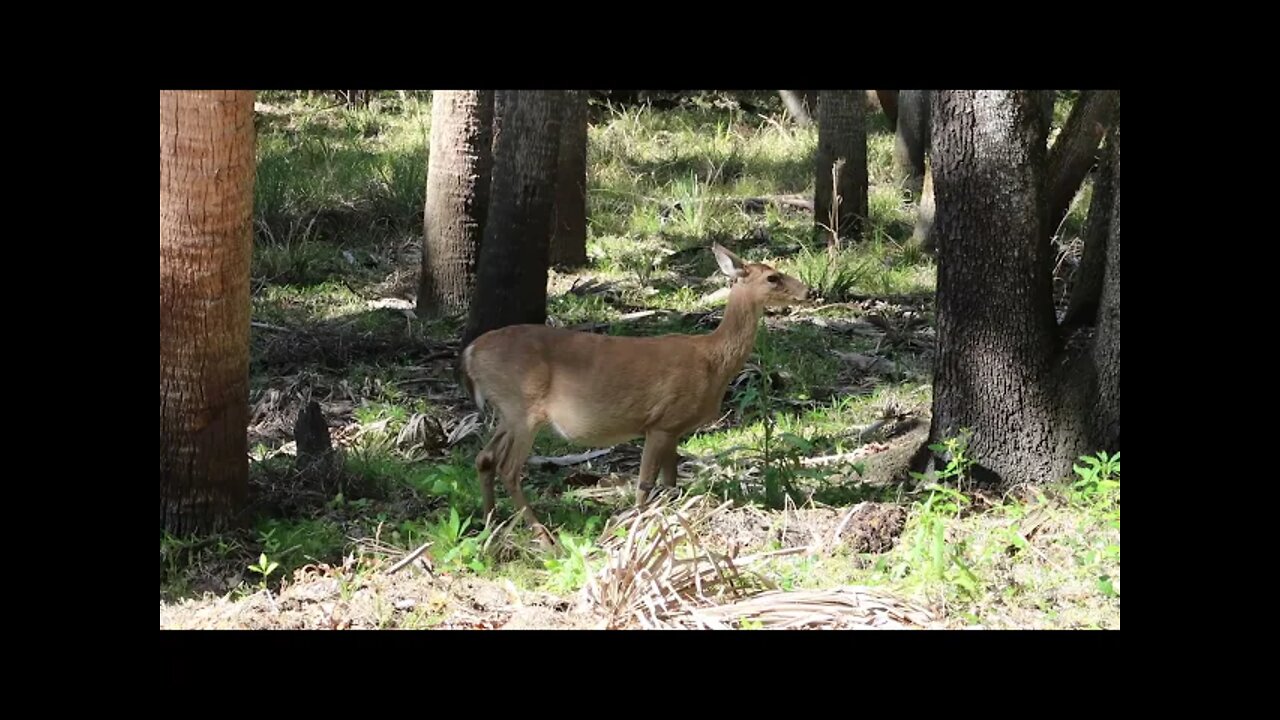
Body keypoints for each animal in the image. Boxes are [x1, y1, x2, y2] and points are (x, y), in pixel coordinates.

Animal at [455, 240, 803, 543]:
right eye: (772, 277)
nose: (807, 290)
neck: (713, 360)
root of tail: (470, 353)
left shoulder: (674, 429)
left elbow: (670, 483)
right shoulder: (661, 421)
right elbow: (645, 486)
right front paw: (632, 533)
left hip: (508, 412)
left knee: (484, 457)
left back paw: (491, 524)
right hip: (522, 407)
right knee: (507, 467)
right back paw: (542, 536)